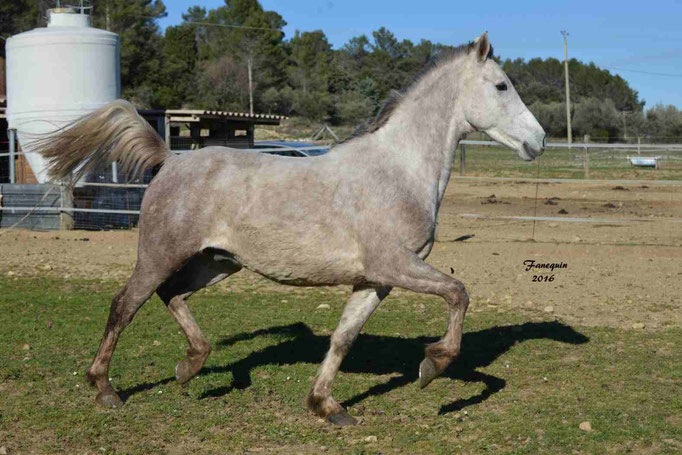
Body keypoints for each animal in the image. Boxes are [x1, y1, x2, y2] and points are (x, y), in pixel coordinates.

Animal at [34, 33, 540, 428]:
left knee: (171, 295)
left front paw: (326, 406)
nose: (538, 140)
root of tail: (171, 159)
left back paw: (189, 367)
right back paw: (106, 389)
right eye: (501, 85)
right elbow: (459, 293)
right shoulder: (396, 264)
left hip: (217, 263)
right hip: (160, 254)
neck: (399, 169)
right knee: (125, 305)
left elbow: (343, 338)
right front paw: (432, 366)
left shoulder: (375, 280)